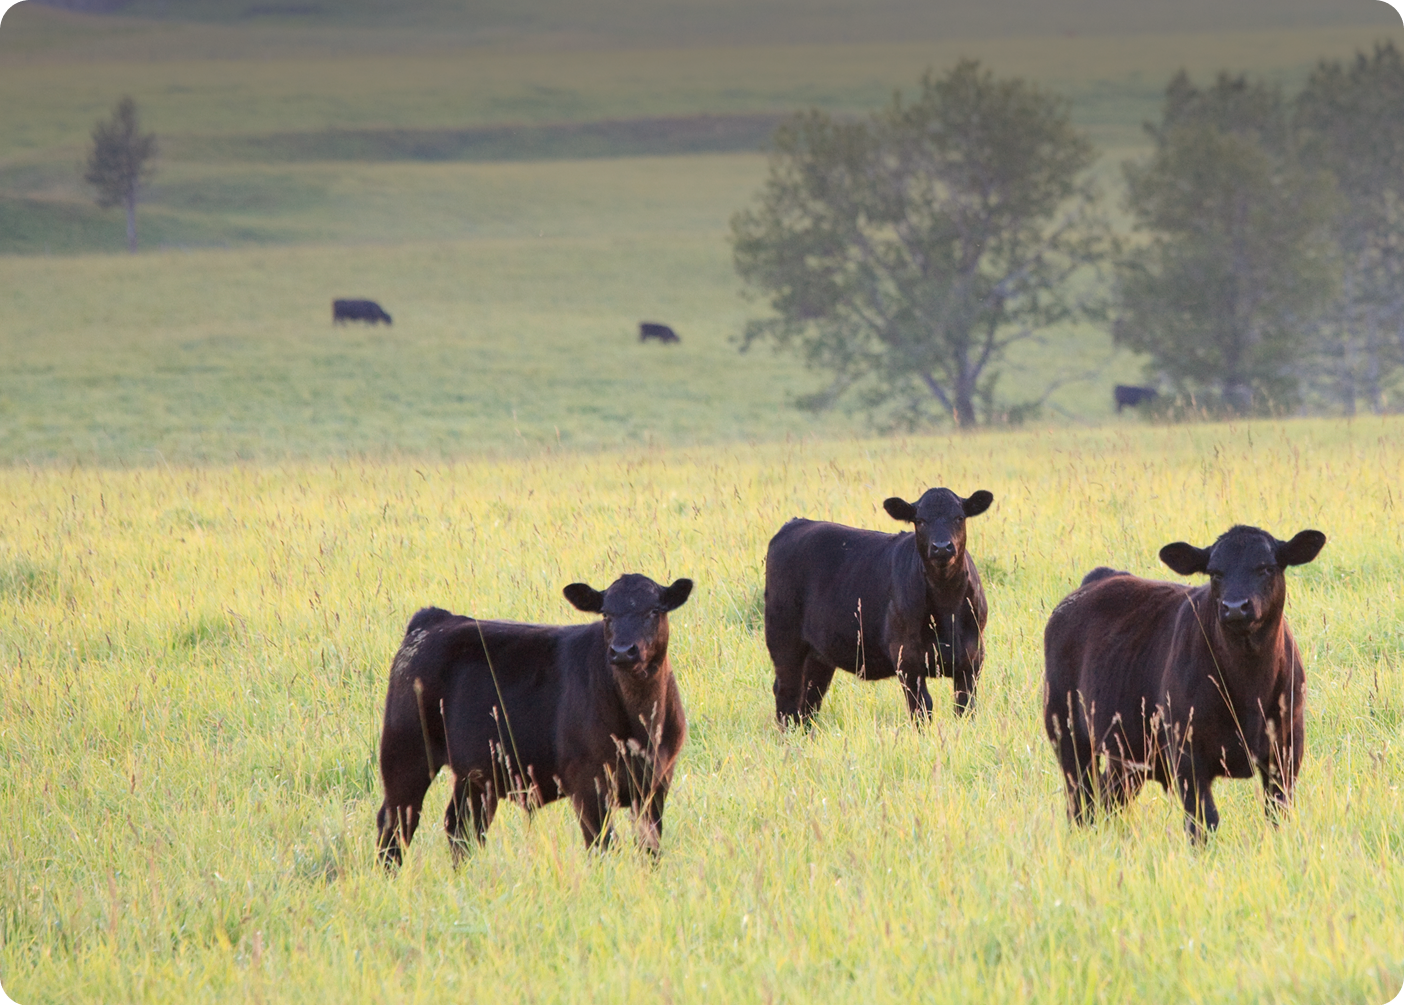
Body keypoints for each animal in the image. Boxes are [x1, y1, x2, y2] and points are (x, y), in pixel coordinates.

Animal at [375, 573, 693, 867]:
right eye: (606, 614)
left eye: (655, 610)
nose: (623, 651)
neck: (641, 725)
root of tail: (435, 618)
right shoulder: (587, 782)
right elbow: (602, 845)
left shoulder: (657, 784)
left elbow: (650, 848)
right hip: (406, 752)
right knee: (396, 821)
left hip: (476, 773)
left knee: (461, 826)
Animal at [764, 487, 994, 726]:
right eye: (920, 521)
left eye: (959, 517)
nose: (941, 547)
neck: (947, 605)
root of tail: (796, 523)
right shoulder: (906, 658)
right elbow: (922, 707)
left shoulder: (972, 659)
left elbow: (965, 708)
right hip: (783, 639)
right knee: (787, 693)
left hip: (818, 653)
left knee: (810, 696)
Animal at [1042, 525, 1326, 841]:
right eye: (1215, 572)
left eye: (1266, 567)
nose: (1235, 607)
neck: (1249, 687)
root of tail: (1101, 577)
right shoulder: (1186, 752)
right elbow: (1204, 822)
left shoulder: (1287, 751)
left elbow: (1277, 814)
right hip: (1064, 728)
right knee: (1081, 800)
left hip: (1129, 751)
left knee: (1108, 795)